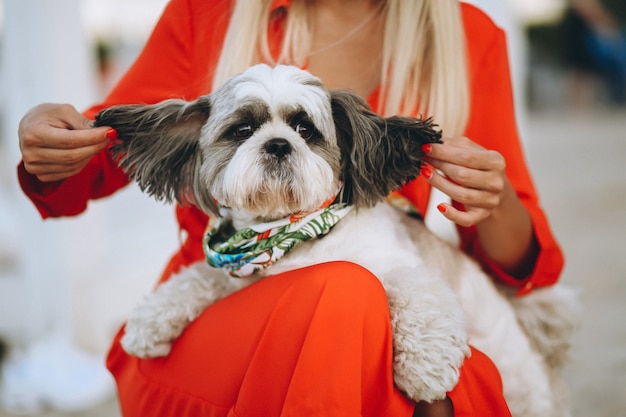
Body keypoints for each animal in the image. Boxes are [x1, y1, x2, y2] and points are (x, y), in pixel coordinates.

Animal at [94, 63, 576, 414]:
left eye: (305, 129)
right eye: (242, 130)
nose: (278, 144)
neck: (293, 233)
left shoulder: (398, 266)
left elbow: (420, 302)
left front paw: (425, 369)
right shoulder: (244, 276)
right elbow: (198, 278)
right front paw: (151, 320)